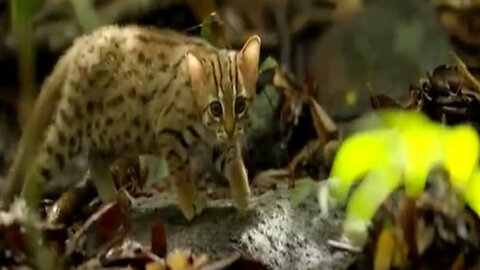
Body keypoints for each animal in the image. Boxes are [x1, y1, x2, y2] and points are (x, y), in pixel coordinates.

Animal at [0, 24, 262, 220]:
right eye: (216, 108)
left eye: (240, 105)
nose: (230, 128)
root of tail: (87, 39)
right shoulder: (168, 132)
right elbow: (180, 173)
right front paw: (189, 202)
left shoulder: (221, 140)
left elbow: (234, 163)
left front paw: (243, 196)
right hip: (69, 133)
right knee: (37, 167)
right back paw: (27, 220)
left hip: (116, 132)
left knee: (94, 159)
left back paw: (112, 198)